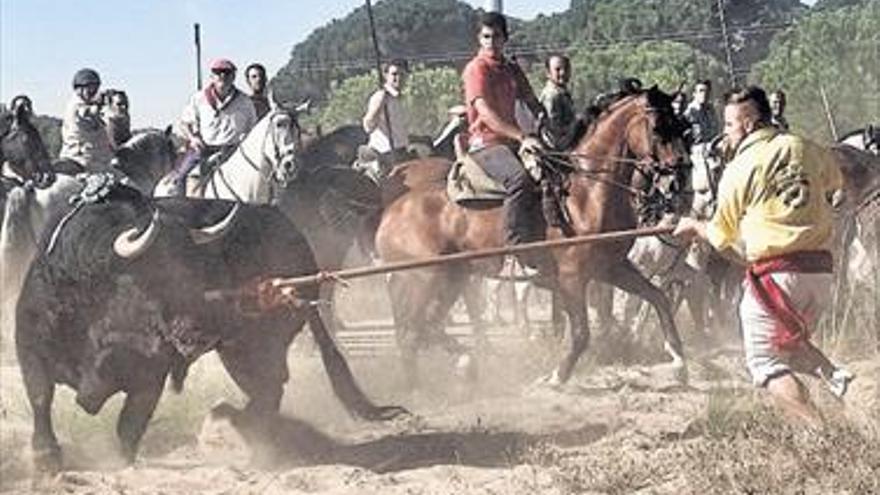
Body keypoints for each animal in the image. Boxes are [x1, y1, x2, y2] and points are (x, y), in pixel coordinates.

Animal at [16, 189, 406, 472]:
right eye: (159, 274)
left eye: (201, 268)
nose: (199, 331)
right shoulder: (30, 343)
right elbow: (40, 395)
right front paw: (46, 457)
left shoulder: (150, 374)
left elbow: (130, 423)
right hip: (239, 349)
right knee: (268, 389)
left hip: (256, 344)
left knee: (270, 386)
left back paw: (230, 426)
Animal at [374, 88, 692, 388]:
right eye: (658, 127)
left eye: (681, 125)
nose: (679, 178)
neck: (585, 194)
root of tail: (390, 214)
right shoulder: (572, 276)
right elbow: (581, 333)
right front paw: (556, 376)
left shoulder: (611, 267)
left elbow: (659, 298)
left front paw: (678, 360)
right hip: (424, 280)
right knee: (413, 332)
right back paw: (423, 385)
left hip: (452, 279)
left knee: (425, 328)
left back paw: (459, 367)